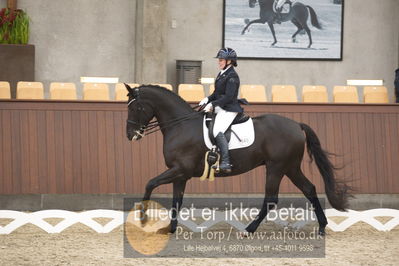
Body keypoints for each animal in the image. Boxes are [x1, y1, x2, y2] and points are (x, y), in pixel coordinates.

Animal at [125, 84, 350, 235]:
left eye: (136, 108)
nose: (130, 135)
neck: (180, 126)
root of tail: (296, 124)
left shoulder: (180, 169)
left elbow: (150, 183)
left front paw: (143, 219)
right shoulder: (180, 174)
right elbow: (176, 201)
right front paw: (170, 229)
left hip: (276, 168)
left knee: (271, 199)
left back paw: (249, 229)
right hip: (291, 167)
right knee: (309, 189)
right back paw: (321, 227)